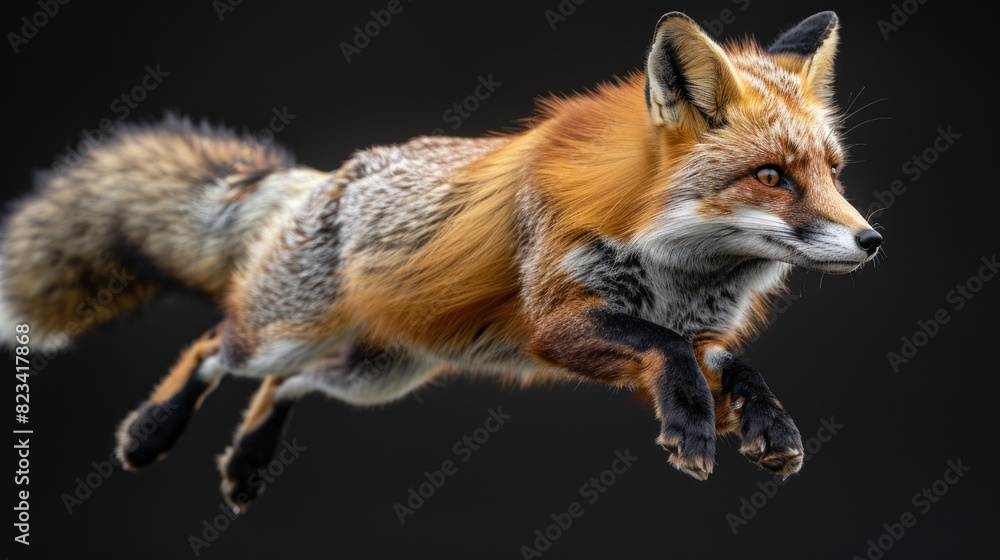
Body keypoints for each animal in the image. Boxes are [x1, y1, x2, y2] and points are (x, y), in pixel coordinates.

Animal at [0, 11, 880, 511]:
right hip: (283, 337)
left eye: (833, 172)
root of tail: (326, 178)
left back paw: (247, 465)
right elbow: (668, 357)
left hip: (377, 374)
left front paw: (768, 427)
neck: (675, 269)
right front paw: (695, 434)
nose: (873, 241)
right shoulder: (556, 325)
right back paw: (151, 433)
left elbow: (730, 366)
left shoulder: (690, 336)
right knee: (212, 347)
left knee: (287, 386)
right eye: (772, 176)